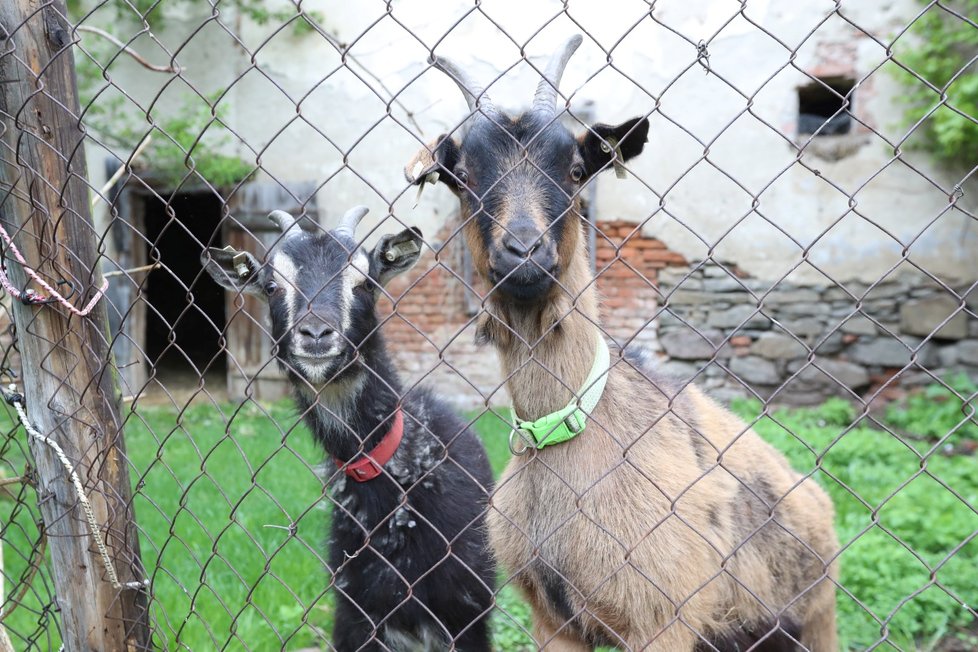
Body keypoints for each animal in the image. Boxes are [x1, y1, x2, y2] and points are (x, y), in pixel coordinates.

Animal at [404, 37, 840, 652]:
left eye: (576, 168)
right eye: (461, 175)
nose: (524, 251)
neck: (568, 426)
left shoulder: (661, 618)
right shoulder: (552, 618)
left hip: (816, 620)